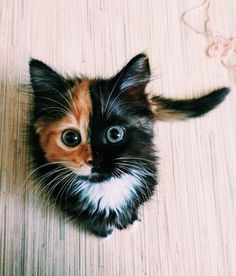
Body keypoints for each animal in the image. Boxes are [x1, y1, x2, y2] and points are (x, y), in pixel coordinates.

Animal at [28, 54, 230, 237]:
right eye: (70, 138)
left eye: (115, 134)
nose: (94, 161)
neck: (106, 186)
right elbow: (93, 221)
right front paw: (104, 232)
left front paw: (129, 221)